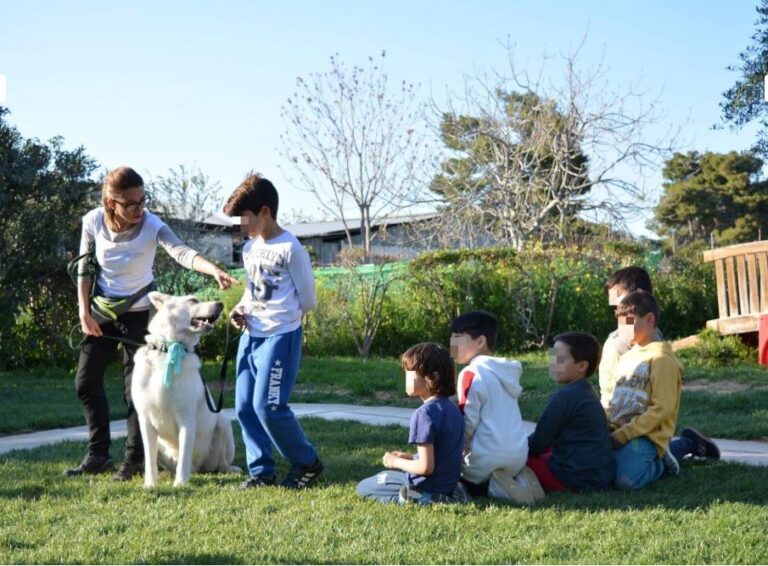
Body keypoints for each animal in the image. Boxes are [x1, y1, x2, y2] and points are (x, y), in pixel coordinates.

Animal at [132, 292, 240, 488]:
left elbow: (184, 455)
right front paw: (150, 484)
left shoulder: (186, 418)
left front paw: (181, 483)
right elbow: (149, 459)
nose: (221, 304)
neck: (168, 350)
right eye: (193, 300)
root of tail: (198, 469)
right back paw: (166, 473)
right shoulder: (145, 420)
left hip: (223, 423)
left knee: (220, 463)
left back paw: (229, 469)